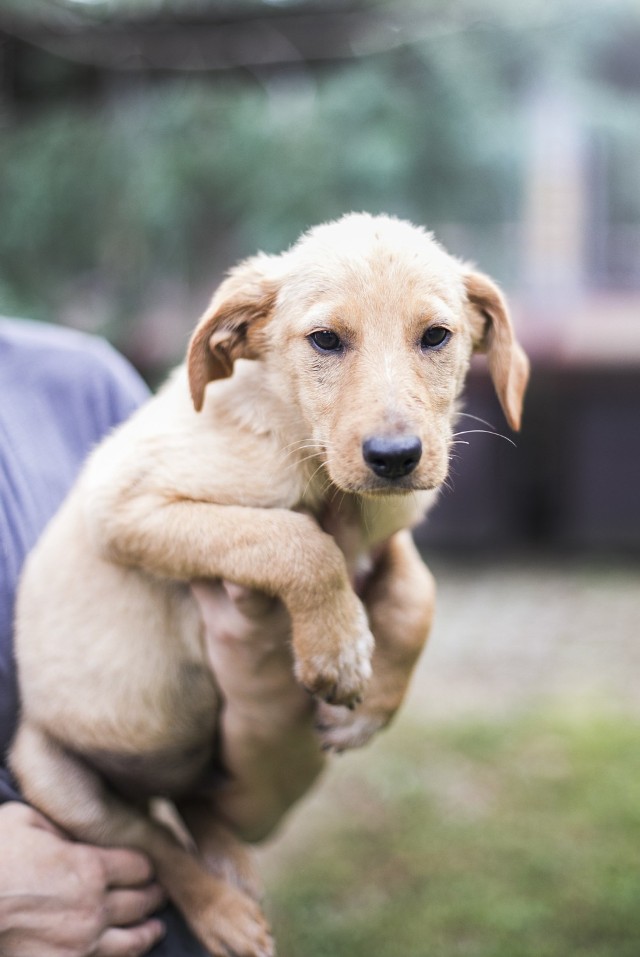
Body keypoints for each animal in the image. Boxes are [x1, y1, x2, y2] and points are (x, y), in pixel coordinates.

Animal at [11, 215, 528, 956]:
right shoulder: (127, 506)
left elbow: (416, 594)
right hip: (54, 775)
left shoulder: (387, 534)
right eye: (325, 340)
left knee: (191, 803)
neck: (296, 436)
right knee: (151, 844)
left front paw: (371, 706)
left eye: (435, 336)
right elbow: (297, 541)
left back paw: (229, 857)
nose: (396, 458)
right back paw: (223, 910)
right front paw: (338, 650)